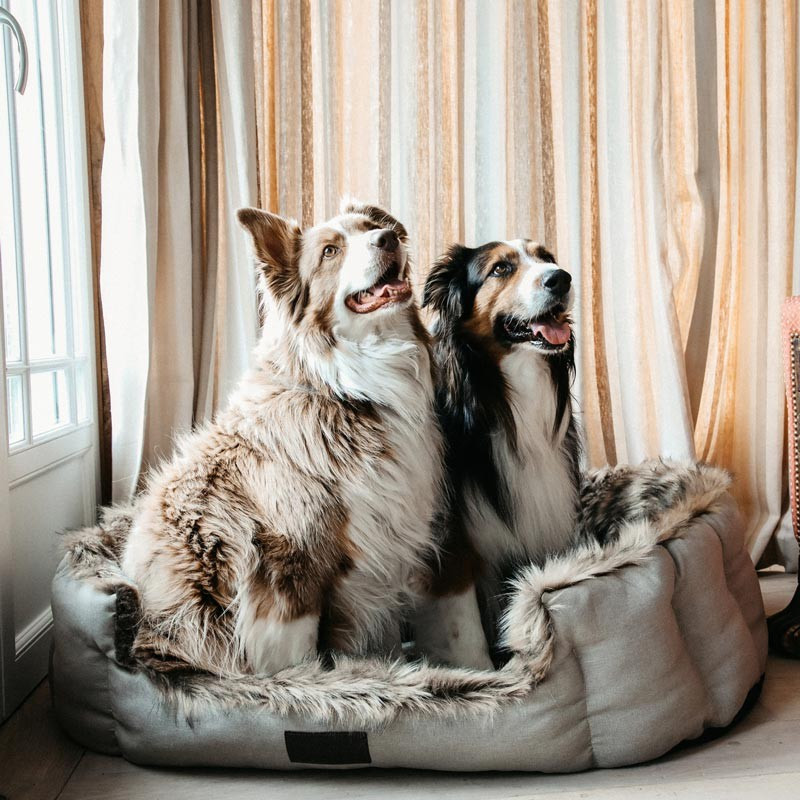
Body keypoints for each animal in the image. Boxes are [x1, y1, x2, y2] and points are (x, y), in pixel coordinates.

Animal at [123, 200, 444, 676]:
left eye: (372, 226)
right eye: (330, 251)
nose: (388, 239)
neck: (346, 392)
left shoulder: (381, 553)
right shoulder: (288, 564)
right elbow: (294, 658)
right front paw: (312, 684)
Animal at [412, 238, 580, 668]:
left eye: (547, 258)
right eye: (501, 268)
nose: (562, 279)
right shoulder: (452, 546)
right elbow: (466, 636)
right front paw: (489, 678)